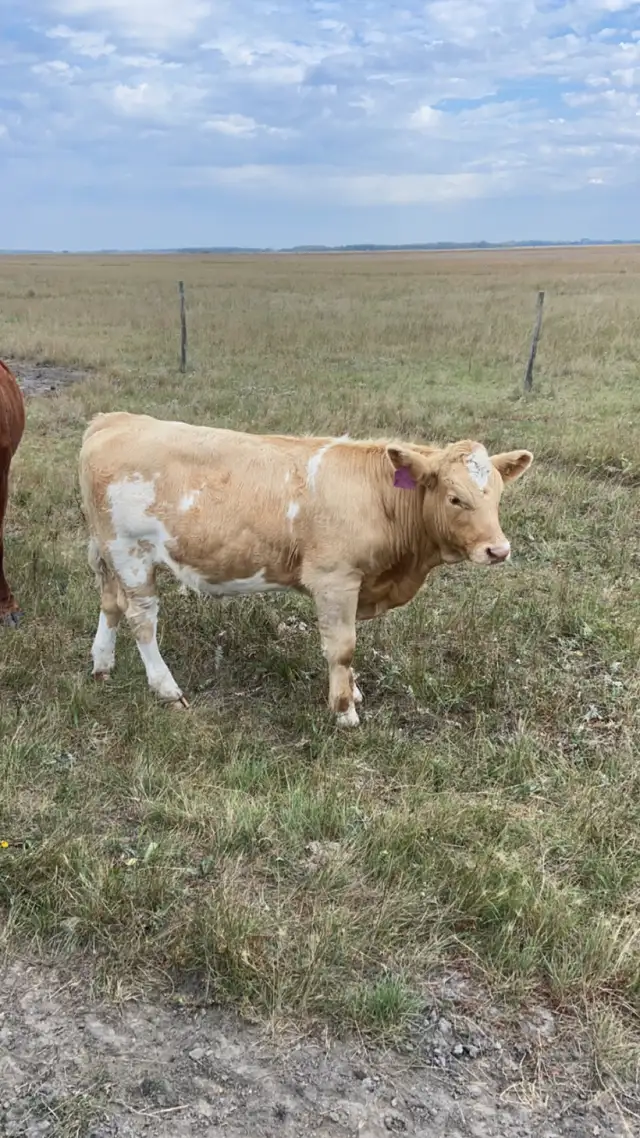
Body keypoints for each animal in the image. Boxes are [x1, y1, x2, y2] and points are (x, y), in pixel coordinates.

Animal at [79, 412, 533, 726]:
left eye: (498, 494)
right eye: (455, 498)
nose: (498, 550)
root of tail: (113, 419)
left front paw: (352, 691)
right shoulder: (335, 579)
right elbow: (342, 646)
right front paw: (344, 710)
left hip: (108, 552)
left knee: (111, 603)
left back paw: (102, 665)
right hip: (131, 552)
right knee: (142, 619)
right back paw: (166, 688)